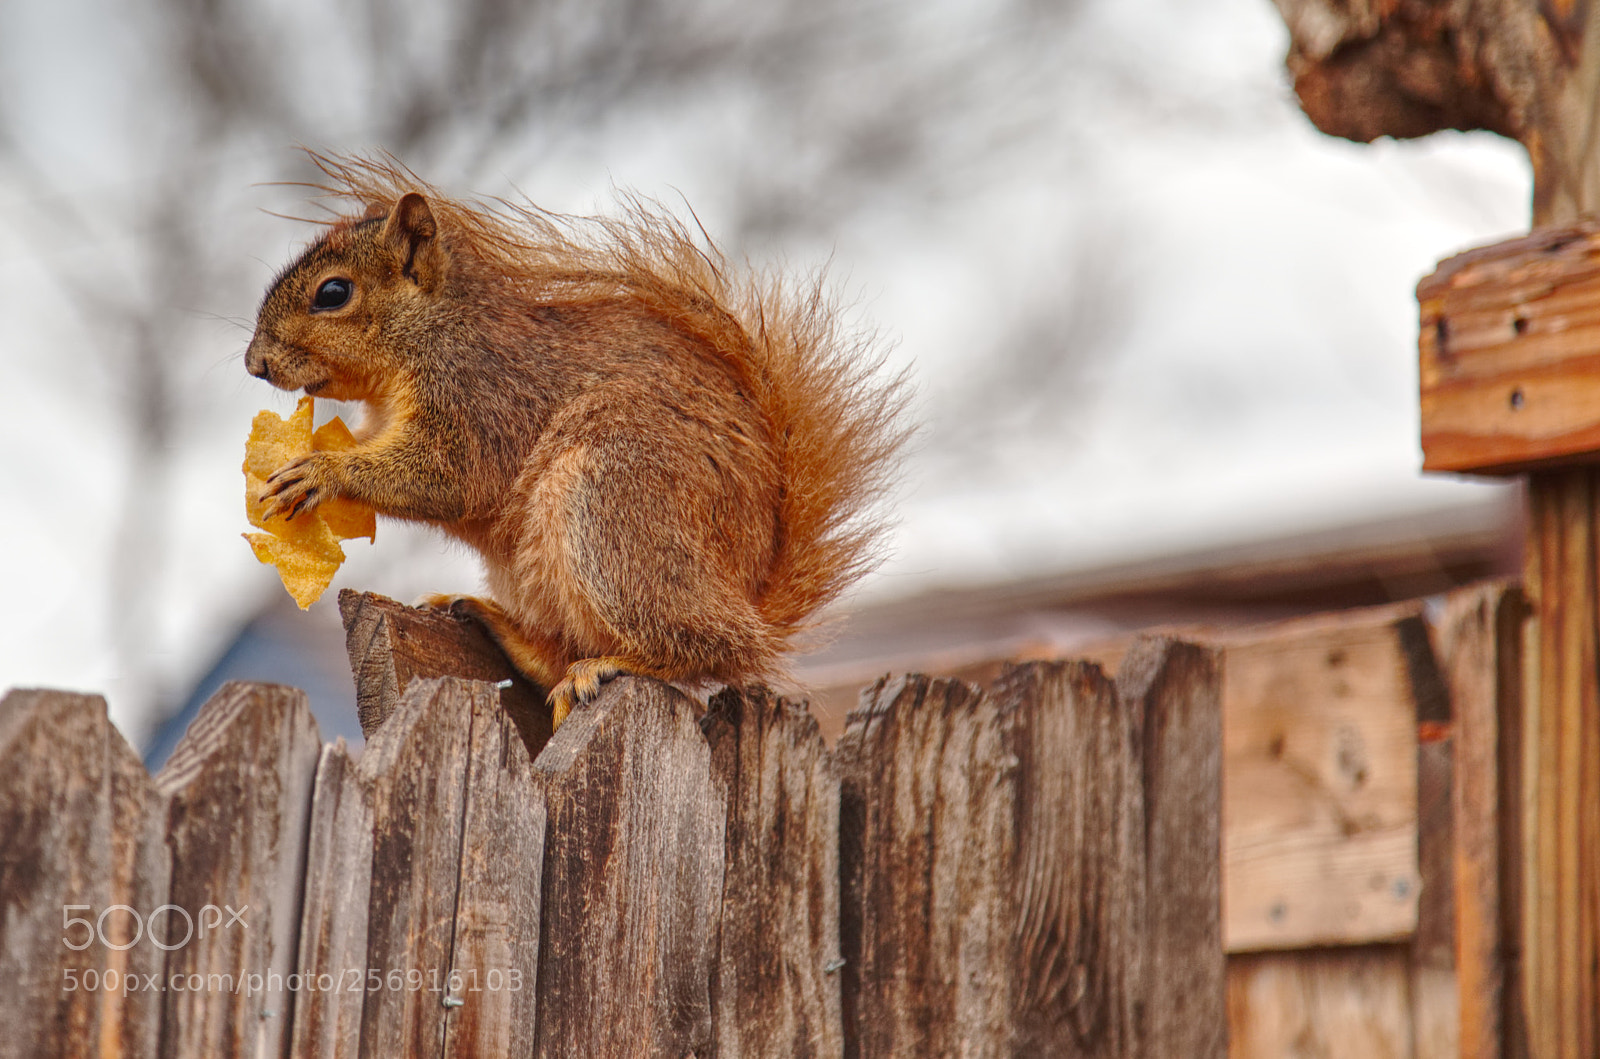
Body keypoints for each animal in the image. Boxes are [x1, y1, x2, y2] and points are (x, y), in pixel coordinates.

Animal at [245, 154, 906, 725]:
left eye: (333, 293)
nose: (255, 364)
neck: (427, 333)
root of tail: (747, 594)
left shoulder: (479, 396)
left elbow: (448, 478)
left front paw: (322, 472)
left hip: (612, 505)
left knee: (712, 650)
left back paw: (610, 666)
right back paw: (500, 625)